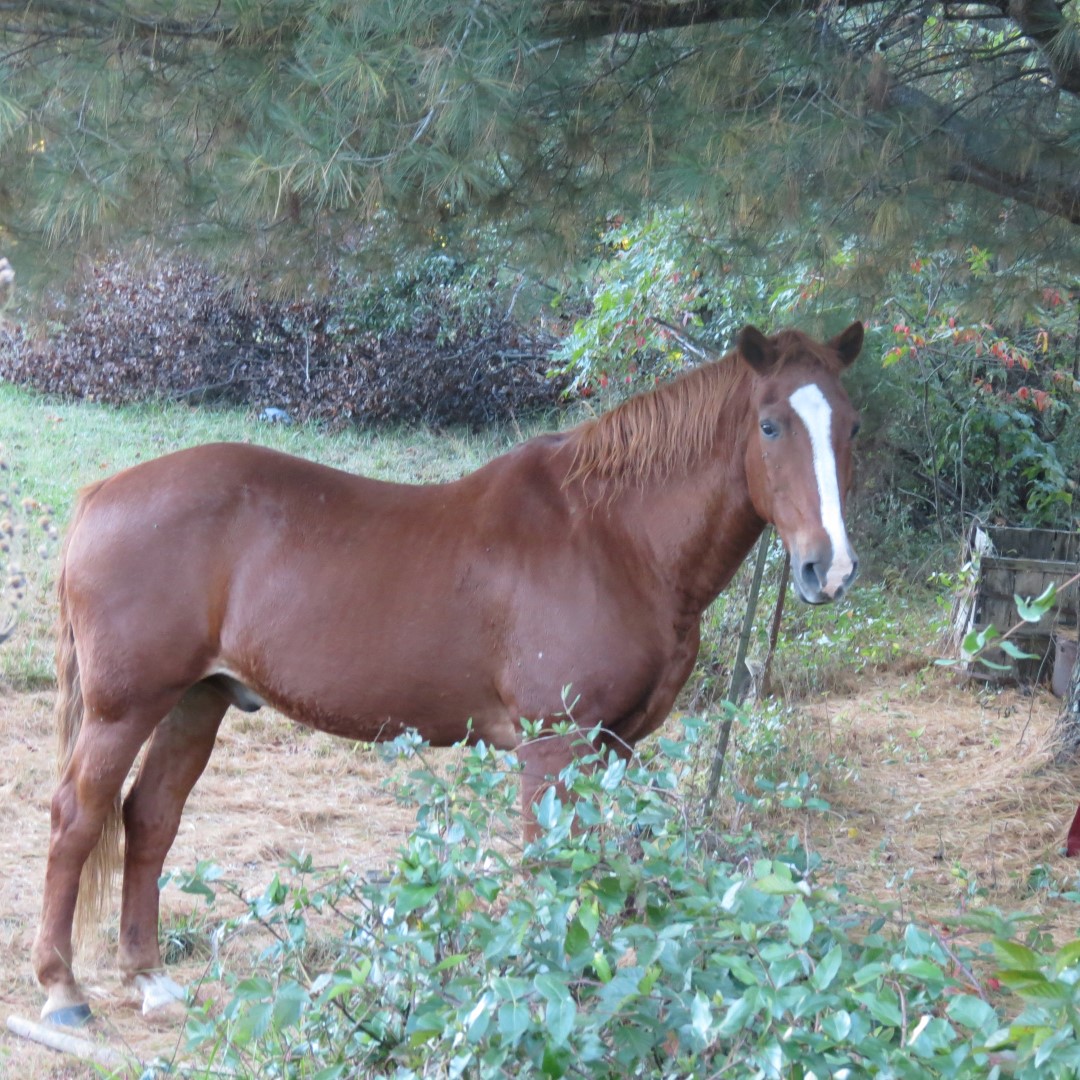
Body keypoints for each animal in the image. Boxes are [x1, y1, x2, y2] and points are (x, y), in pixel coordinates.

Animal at [33, 320, 864, 1025]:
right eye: (770, 425)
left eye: (851, 426)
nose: (828, 569)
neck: (611, 538)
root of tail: (101, 495)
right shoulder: (552, 745)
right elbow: (547, 869)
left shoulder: (614, 746)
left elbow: (590, 864)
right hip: (124, 707)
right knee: (78, 817)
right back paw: (63, 990)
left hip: (196, 700)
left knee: (150, 818)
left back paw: (148, 978)